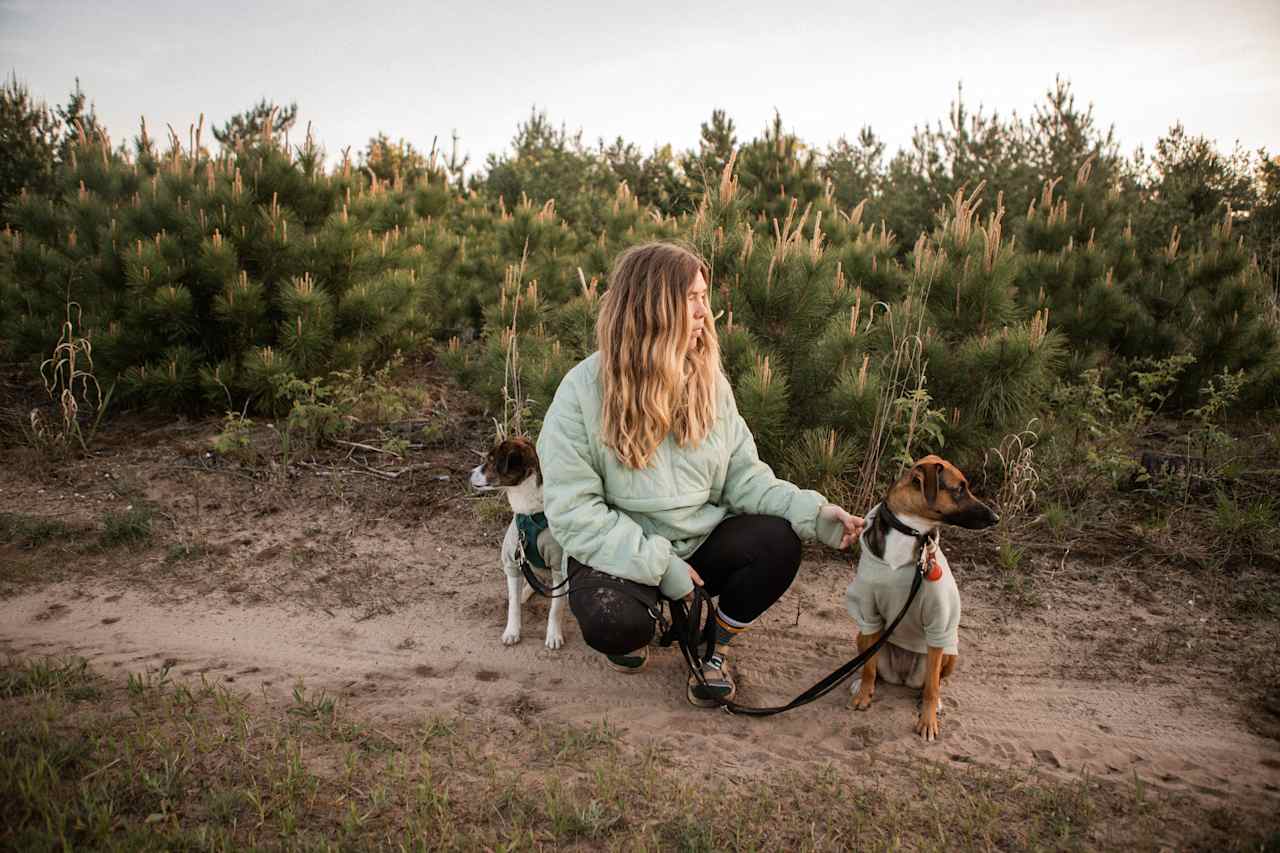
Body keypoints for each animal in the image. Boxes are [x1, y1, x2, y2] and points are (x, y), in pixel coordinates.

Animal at [471, 435, 565, 648]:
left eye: (491, 460)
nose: (469, 473)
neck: (530, 515)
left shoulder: (559, 568)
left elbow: (555, 608)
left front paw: (553, 635)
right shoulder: (513, 562)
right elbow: (513, 606)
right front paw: (512, 631)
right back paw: (527, 591)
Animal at [849, 450, 998, 737]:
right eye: (959, 489)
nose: (996, 518)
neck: (910, 531)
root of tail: (902, 677)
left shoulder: (938, 621)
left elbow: (931, 686)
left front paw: (928, 721)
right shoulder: (869, 614)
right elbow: (869, 668)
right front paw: (863, 694)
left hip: (948, 650)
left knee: (934, 680)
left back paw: (934, 701)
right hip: (863, 636)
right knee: (872, 665)